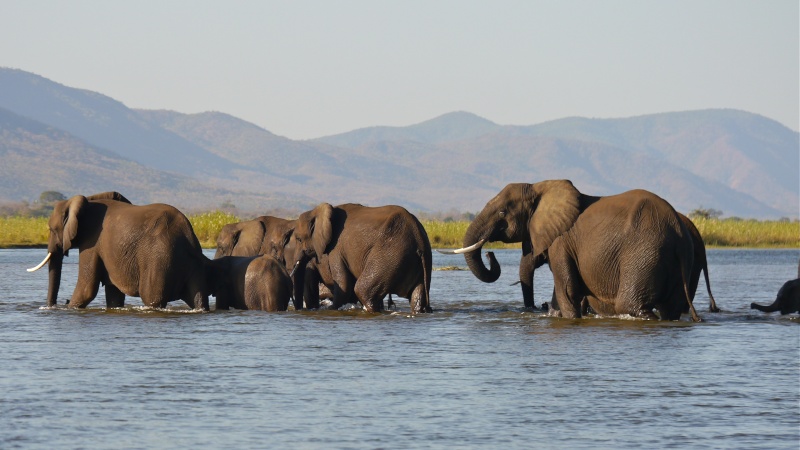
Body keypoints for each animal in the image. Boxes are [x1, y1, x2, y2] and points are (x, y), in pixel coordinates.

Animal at [27, 192, 211, 312]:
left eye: (51, 229)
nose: (52, 306)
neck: (87, 202)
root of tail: (187, 234)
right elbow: (113, 293)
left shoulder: (91, 243)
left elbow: (86, 288)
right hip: (192, 263)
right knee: (198, 297)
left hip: (160, 258)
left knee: (152, 297)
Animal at [290, 203, 432, 312]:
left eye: (298, 239)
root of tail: (418, 239)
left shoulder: (336, 249)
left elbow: (343, 283)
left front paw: (331, 309)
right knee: (417, 296)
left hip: (391, 254)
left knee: (363, 290)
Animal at [446, 181, 704, 322]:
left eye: (502, 213)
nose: (490, 254)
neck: (541, 187)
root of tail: (677, 229)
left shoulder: (561, 242)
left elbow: (568, 291)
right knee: (671, 308)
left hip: (645, 253)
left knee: (630, 306)